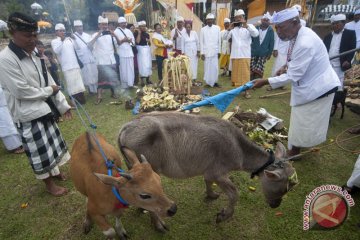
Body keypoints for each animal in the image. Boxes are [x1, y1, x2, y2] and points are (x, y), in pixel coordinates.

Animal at [118, 111, 296, 230]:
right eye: (285, 187)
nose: (275, 205)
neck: (239, 148)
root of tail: (127, 127)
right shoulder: (218, 173)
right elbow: (234, 193)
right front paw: (223, 216)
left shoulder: (209, 170)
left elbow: (208, 181)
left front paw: (211, 195)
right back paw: (158, 224)